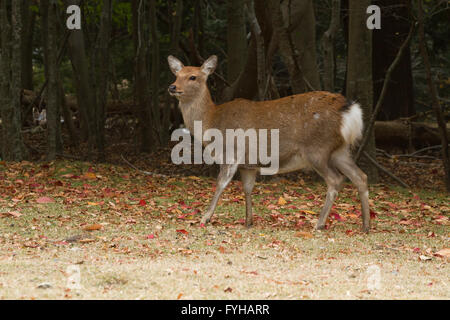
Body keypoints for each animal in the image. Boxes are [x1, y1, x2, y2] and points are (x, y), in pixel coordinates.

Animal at [167, 55, 370, 232]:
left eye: (193, 76)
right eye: (176, 74)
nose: (172, 86)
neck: (211, 122)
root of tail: (350, 111)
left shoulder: (231, 153)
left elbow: (221, 184)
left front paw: (205, 217)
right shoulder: (248, 165)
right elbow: (248, 188)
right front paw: (248, 221)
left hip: (317, 149)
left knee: (336, 179)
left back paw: (319, 224)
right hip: (340, 151)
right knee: (360, 176)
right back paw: (366, 225)